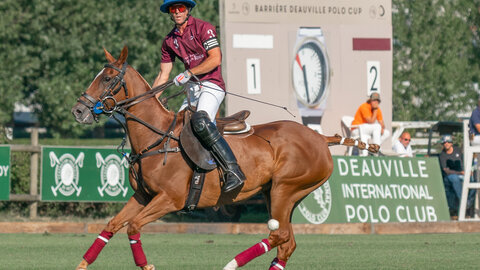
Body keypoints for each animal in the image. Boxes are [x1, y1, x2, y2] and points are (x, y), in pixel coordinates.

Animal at [72, 45, 378, 268]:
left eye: (108, 78)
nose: (79, 110)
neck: (155, 137)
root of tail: (320, 138)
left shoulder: (170, 199)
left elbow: (133, 226)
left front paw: (147, 266)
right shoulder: (143, 196)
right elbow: (112, 225)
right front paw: (82, 264)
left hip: (286, 188)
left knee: (279, 235)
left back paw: (231, 263)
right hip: (279, 193)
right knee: (286, 242)